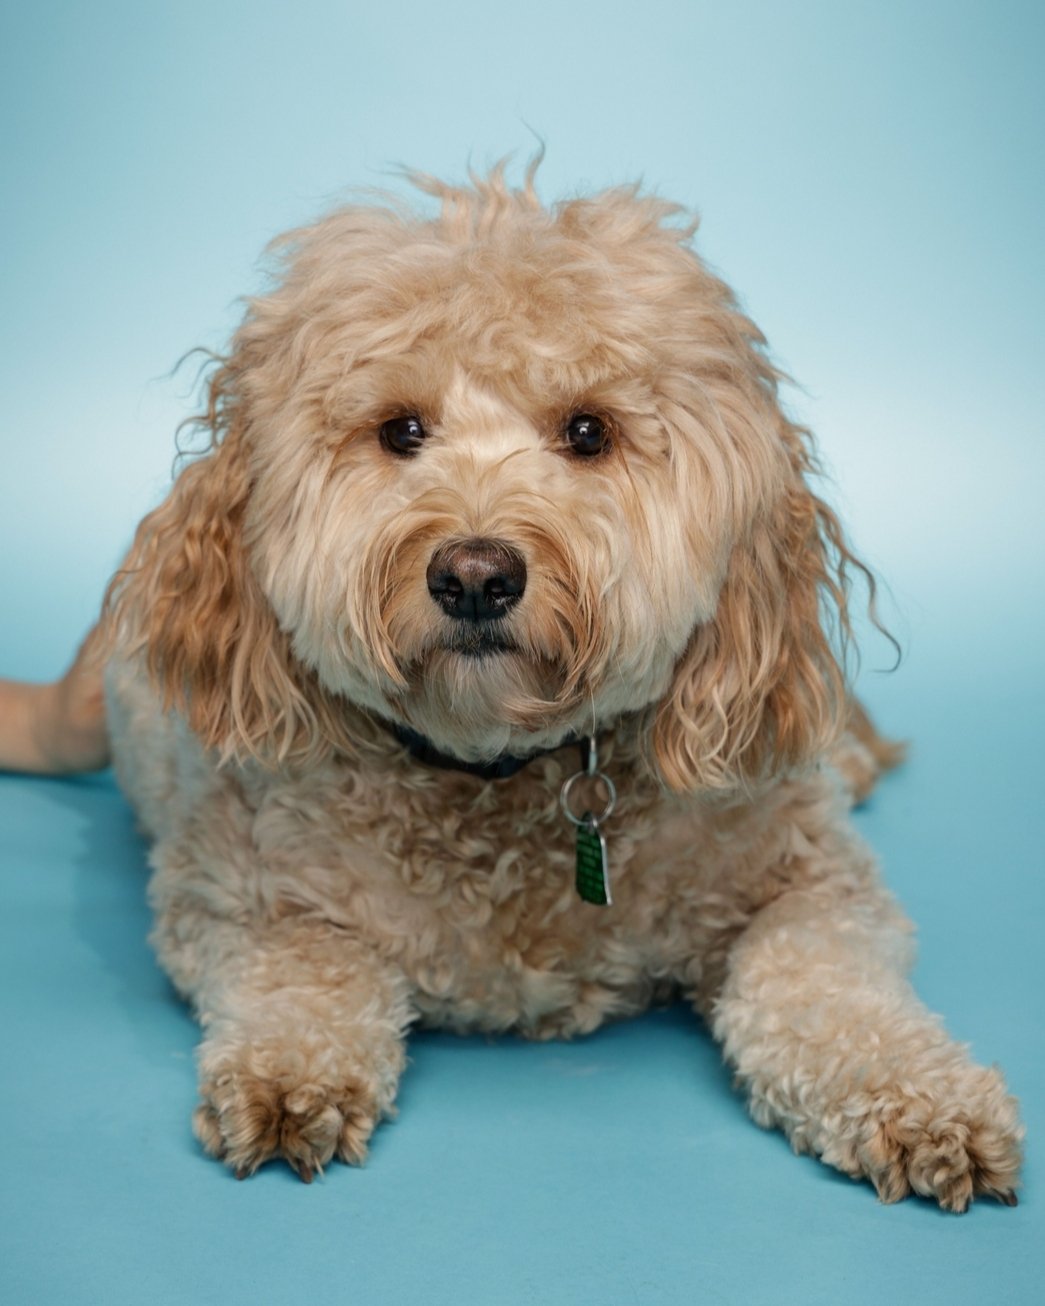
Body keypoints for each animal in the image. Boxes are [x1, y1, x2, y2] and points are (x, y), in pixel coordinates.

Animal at [2, 165, 1018, 1211]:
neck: (502, 774)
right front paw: (288, 1077)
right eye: (401, 430)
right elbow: (305, 970)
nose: (475, 575)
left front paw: (916, 1096)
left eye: (588, 431)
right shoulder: (233, 890)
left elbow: (827, 981)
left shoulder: (811, 879)